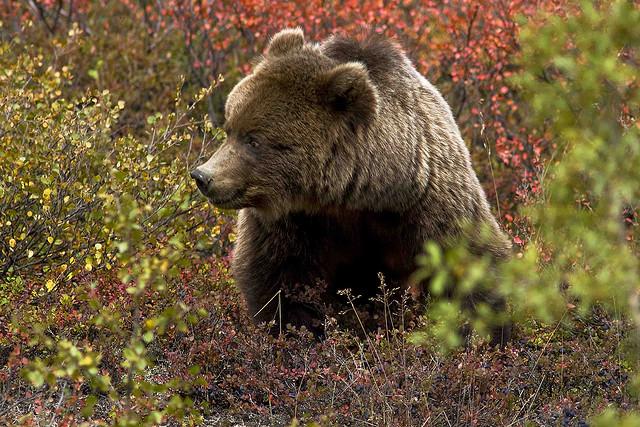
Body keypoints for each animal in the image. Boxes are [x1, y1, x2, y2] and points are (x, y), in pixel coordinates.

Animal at [191, 28, 516, 346]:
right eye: (230, 128)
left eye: (254, 140)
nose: (202, 176)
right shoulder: (294, 222)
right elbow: (279, 281)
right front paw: (300, 334)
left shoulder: (428, 207)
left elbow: (470, 272)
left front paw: (484, 338)